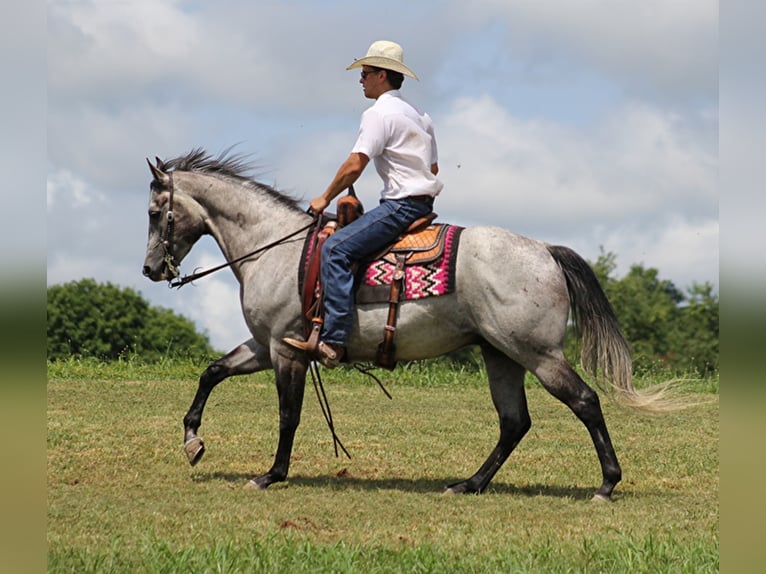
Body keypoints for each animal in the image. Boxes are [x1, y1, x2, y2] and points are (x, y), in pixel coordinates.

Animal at [142, 150, 672, 504]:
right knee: (514, 422)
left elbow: (288, 415)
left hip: (538, 355)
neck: (275, 247)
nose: (150, 270)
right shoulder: (263, 343)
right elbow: (212, 372)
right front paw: (192, 441)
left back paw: (606, 484)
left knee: (584, 402)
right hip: (500, 354)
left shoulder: (286, 350)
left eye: (153, 212)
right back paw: (470, 483)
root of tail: (544, 250)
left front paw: (272, 474)